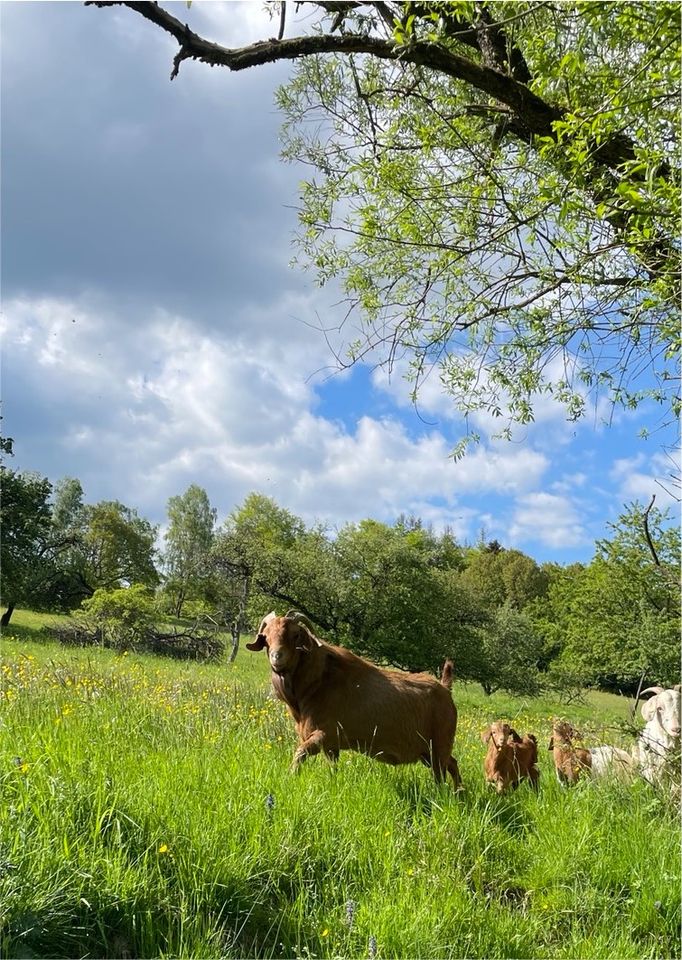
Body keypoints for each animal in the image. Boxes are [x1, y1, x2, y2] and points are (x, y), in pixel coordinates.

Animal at [246, 616, 462, 788]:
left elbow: (301, 752)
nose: (277, 657)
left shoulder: (325, 733)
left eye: (295, 635)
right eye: (265, 637)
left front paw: (290, 776)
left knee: (443, 770)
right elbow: (331, 767)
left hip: (439, 745)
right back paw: (459, 793)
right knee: (452, 764)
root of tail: (445, 689)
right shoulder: (331, 746)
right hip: (428, 751)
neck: (318, 681)